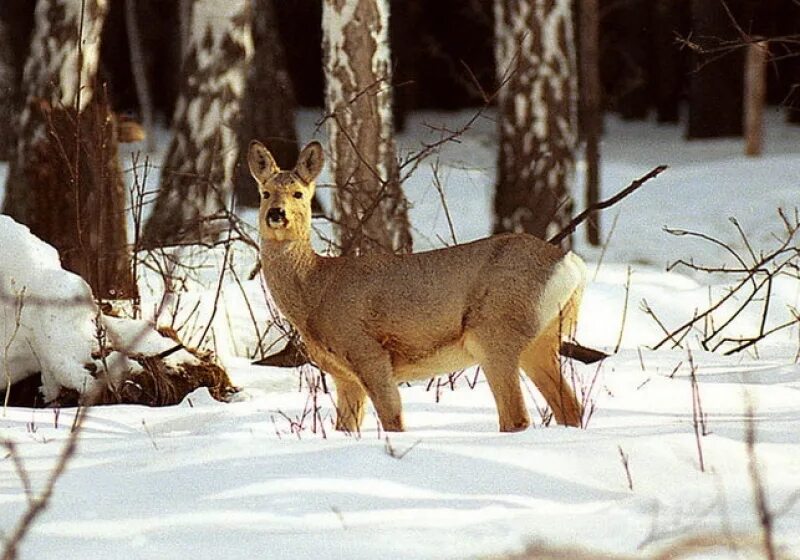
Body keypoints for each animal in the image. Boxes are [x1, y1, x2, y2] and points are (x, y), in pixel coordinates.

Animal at [250, 139, 588, 434]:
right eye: (265, 192)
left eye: (298, 193)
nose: (276, 214)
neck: (316, 289)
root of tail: (571, 264)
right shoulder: (343, 376)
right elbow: (346, 429)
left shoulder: (367, 350)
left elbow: (393, 420)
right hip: (541, 340)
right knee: (570, 408)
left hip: (495, 332)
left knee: (516, 417)